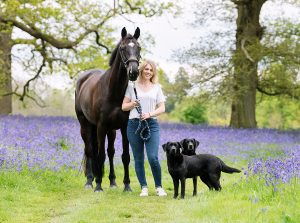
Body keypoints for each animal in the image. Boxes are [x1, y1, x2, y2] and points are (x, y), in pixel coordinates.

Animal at [75, 27, 141, 192]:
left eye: (139, 47)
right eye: (123, 48)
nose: (134, 72)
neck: (114, 92)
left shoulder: (123, 127)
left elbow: (125, 156)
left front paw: (127, 185)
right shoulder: (101, 126)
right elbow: (100, 156)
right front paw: (98, 185)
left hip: (111, 131)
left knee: (110, 152)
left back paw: (112, 182)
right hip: (86, 126)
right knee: (90, 151)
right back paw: (89, 181)